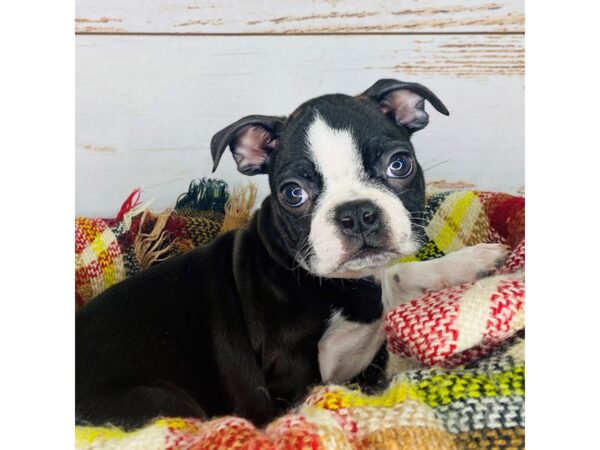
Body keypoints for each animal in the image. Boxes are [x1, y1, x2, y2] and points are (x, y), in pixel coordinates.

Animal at [74, 78, 506, 428]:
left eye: (399, 164)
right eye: (293, 193)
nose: (356, 214)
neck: (345, 285)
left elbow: (403, 273)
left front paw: (474, 260)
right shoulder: (291, 370)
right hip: (159, 402)